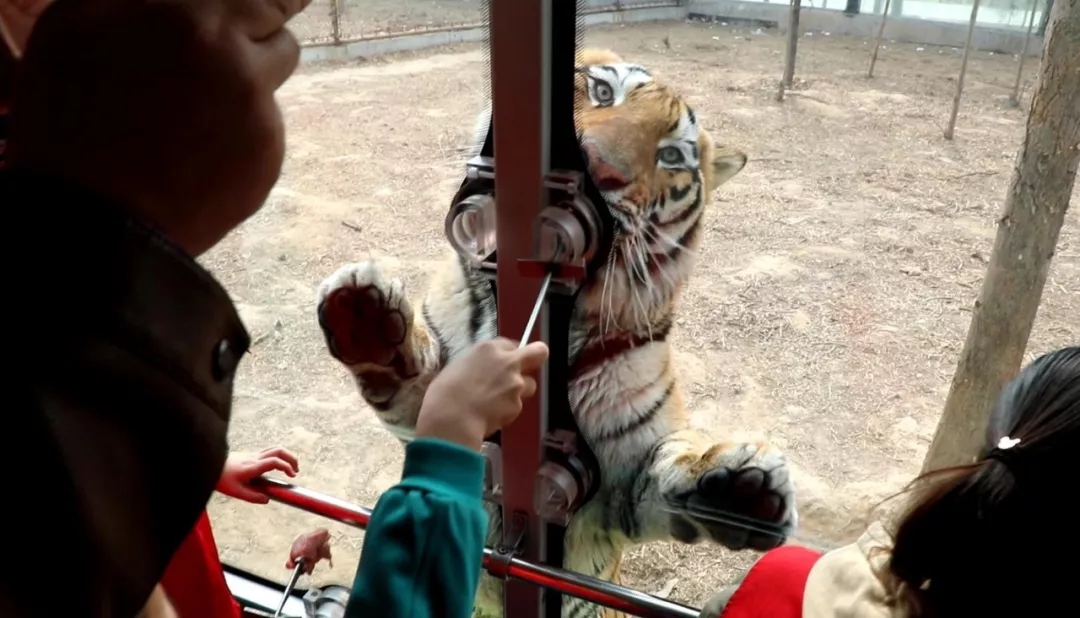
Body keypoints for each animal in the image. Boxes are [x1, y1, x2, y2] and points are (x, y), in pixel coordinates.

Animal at [313, 49, 794, 618]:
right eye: (604, 92)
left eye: (672, 155)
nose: (601, 170)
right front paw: (364, 319)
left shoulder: (620, 490)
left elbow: (668, 471)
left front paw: (738, 491)